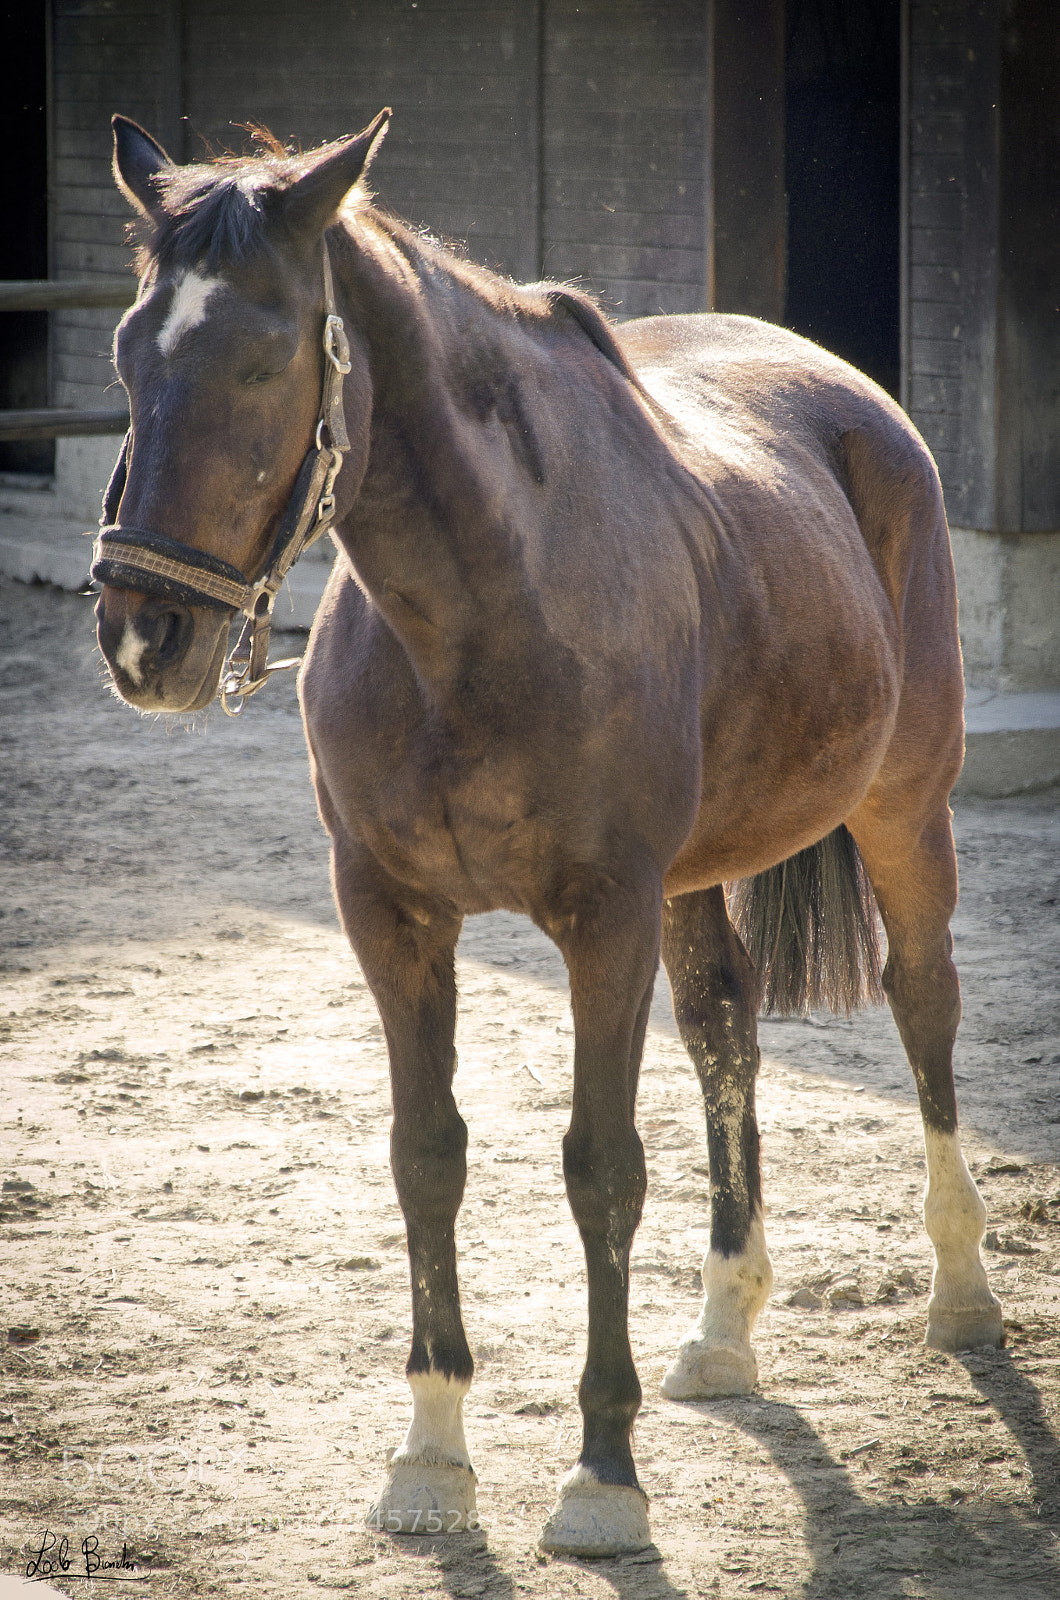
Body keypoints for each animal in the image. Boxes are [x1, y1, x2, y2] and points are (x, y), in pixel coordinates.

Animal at [93, 111, 1004, 1558]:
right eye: (129, 355)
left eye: (264, 355)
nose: (143, 640)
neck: (476, 612)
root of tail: (855, 397)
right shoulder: (392, 916)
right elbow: (427, 1158)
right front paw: (430, 1456)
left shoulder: (602, 917)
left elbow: (600, 1169)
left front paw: (602, 1477)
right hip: (697, 881)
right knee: (726, 1033)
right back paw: (723, 1331)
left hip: (903, 807)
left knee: (923, 1001)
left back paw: (961, 1293)